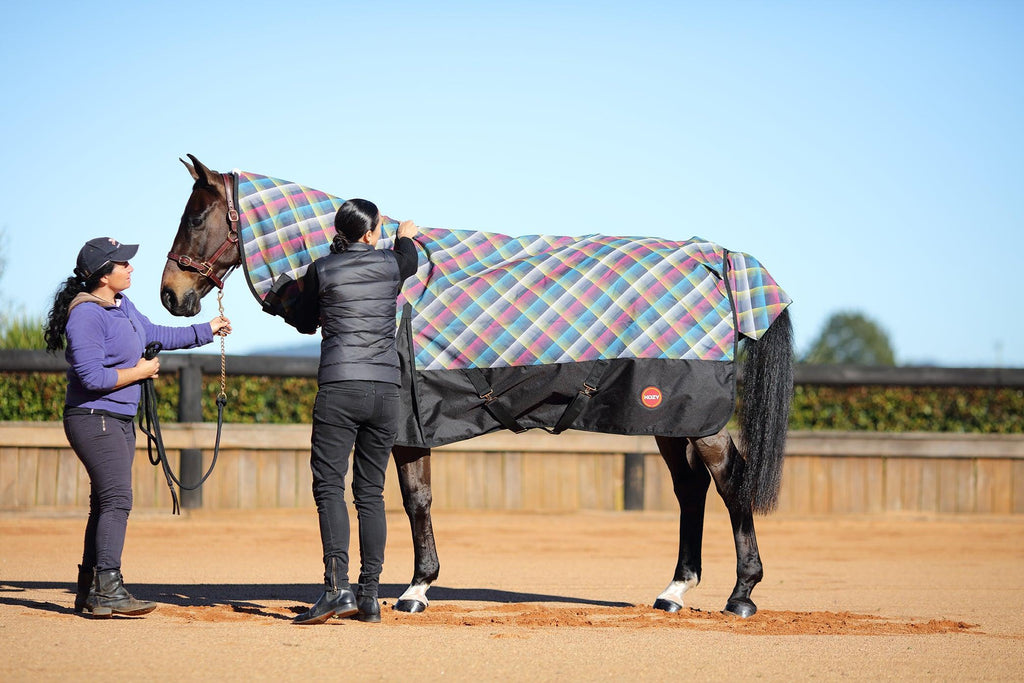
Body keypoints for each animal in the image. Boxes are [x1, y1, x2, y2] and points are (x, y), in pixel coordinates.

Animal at [161, 154, 794, 618]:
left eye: (195, 218)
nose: (171, 295)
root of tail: (719, 257)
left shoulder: (407, 422)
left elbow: (414, 500)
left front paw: (414, 590)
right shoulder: (411, 426)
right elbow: (415, 498)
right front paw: (415, 587)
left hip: (694, 415)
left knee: (728, 482)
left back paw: (742, 595)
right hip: (668, 417)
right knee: (692, 490)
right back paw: (674, 591)